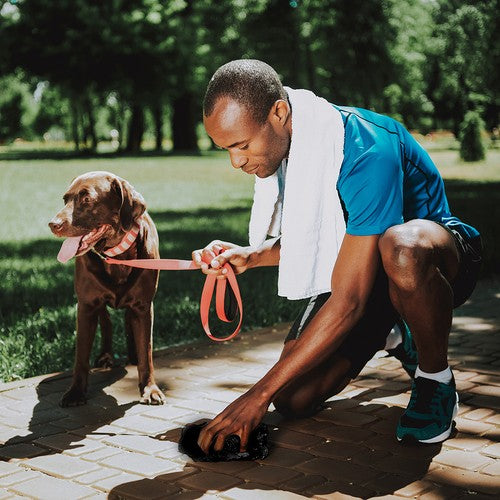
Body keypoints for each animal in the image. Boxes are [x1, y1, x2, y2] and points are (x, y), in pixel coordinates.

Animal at [49, 172, 166, 406]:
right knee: (107, 321)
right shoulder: (86, 305)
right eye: (65, 199)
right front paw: (76, 392)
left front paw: (150, 389)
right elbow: (81, 356)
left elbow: (146, 351)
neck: (116, 256)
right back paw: (105, 356)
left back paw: (132, 356)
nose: (53, 224)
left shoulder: (143, 305)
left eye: (86, 199)